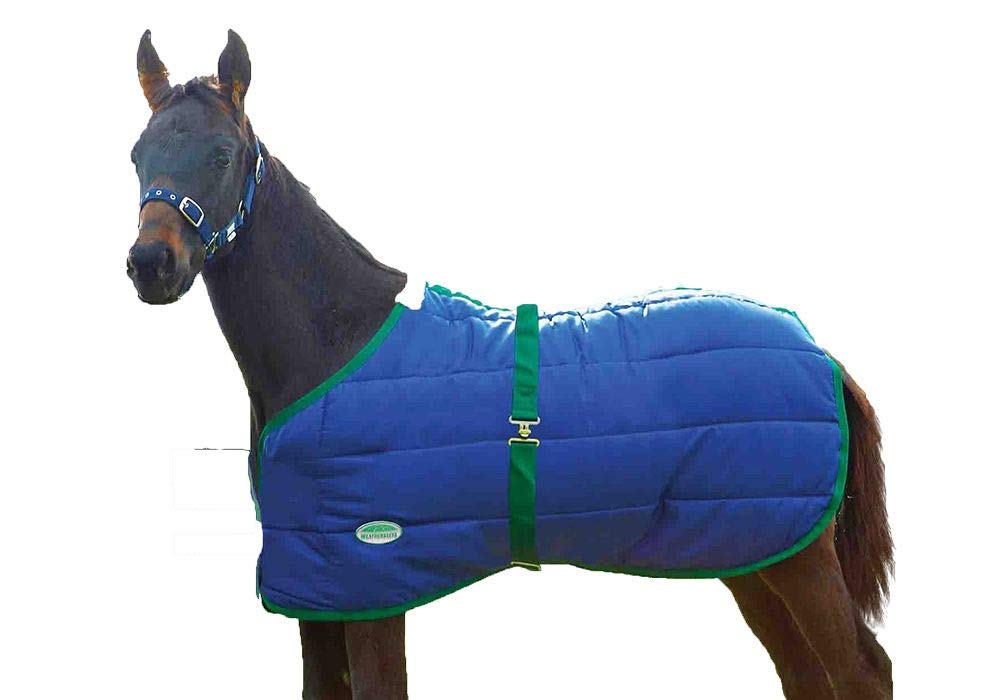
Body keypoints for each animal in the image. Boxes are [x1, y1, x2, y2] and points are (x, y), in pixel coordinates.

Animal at [126, 30, 893, 699]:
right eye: (137, 153)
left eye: (223, 153)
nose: (151, 265)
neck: (336, 344)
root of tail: (822, 353)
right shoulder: (318, 591)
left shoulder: (372, 584)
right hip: (751, 553)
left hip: (796, 561)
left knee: (859, 672)